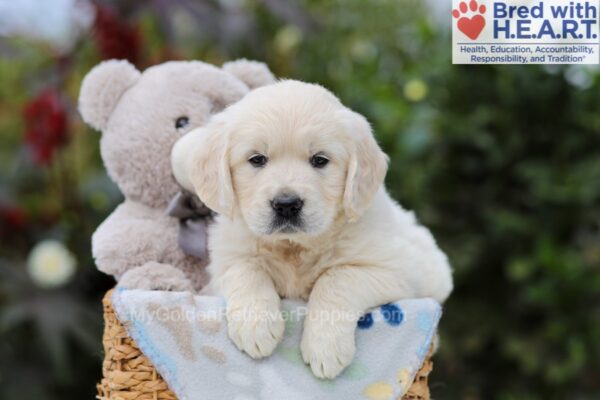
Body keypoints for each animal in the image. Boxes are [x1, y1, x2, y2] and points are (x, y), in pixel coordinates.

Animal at [169, 80, 450, 378]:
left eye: (319, 160)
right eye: (257, 159)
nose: (286, 205)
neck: (294, 245)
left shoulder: (398, 271)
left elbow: (337, 278)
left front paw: (325, 347)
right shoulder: (223, 263)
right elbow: (246, 269)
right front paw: (256, 325)